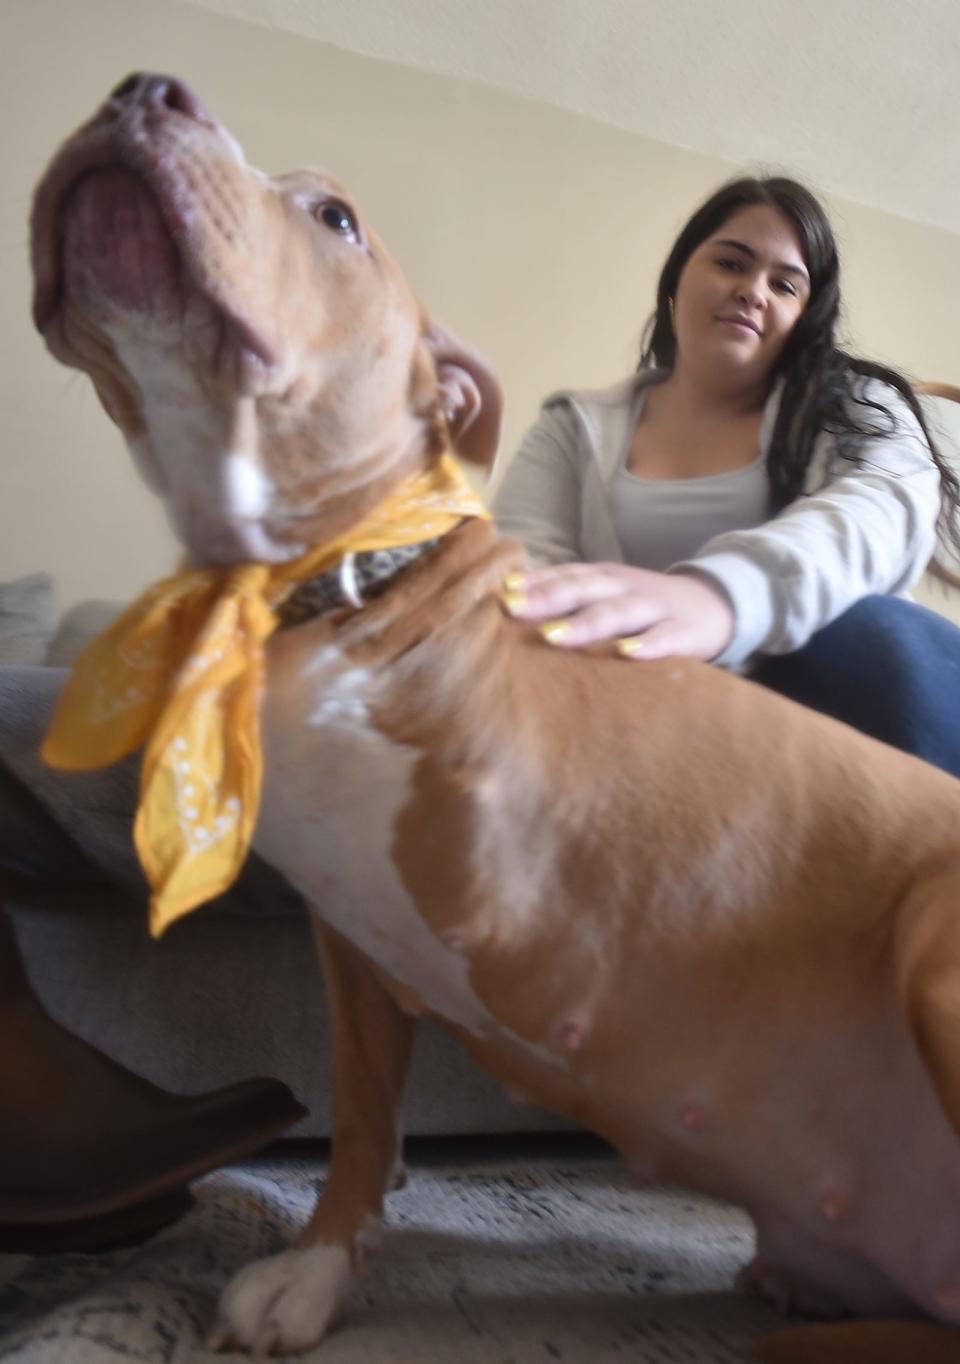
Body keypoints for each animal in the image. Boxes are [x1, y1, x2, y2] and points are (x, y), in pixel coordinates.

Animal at [26, 77, 960, 1364]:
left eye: (337, 217)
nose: (144, 88)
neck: (325, 590)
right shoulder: (348, 942)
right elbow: (362, 1109)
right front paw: (320, 1264)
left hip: (933, 941)